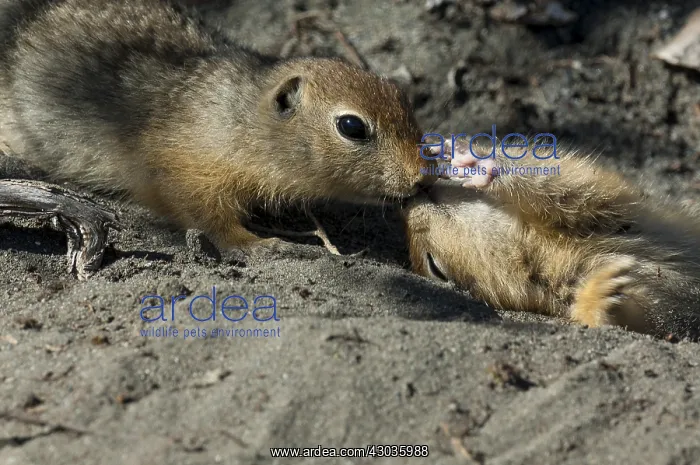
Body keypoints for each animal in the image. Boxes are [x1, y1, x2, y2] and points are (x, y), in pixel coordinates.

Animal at [0, 0, 430, 250]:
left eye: (402, 97)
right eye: (352, 127)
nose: (420, 178)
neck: (241, 118)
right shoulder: (183, 170)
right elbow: (207, 216)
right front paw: (258, 243)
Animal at [403, 136, 700, 340]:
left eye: (434, 267)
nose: (408, 203)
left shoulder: (622, 215)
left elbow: (582, 188)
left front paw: (472, 161)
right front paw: (604, 290)